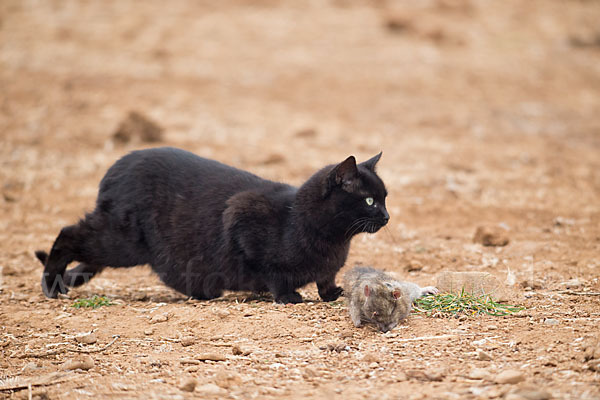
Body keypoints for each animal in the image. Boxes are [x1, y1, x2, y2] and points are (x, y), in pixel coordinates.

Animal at [35, 147, 390, 304]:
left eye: (385, 198)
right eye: (370, 201)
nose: (387, 216)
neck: (335, 240)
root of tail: (116, 166)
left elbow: (325, 277)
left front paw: (329, 292)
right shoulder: (243, 214)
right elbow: (273, 272)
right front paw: (287, 295)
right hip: (121, 242)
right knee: (68, 235)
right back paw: (52, 284)